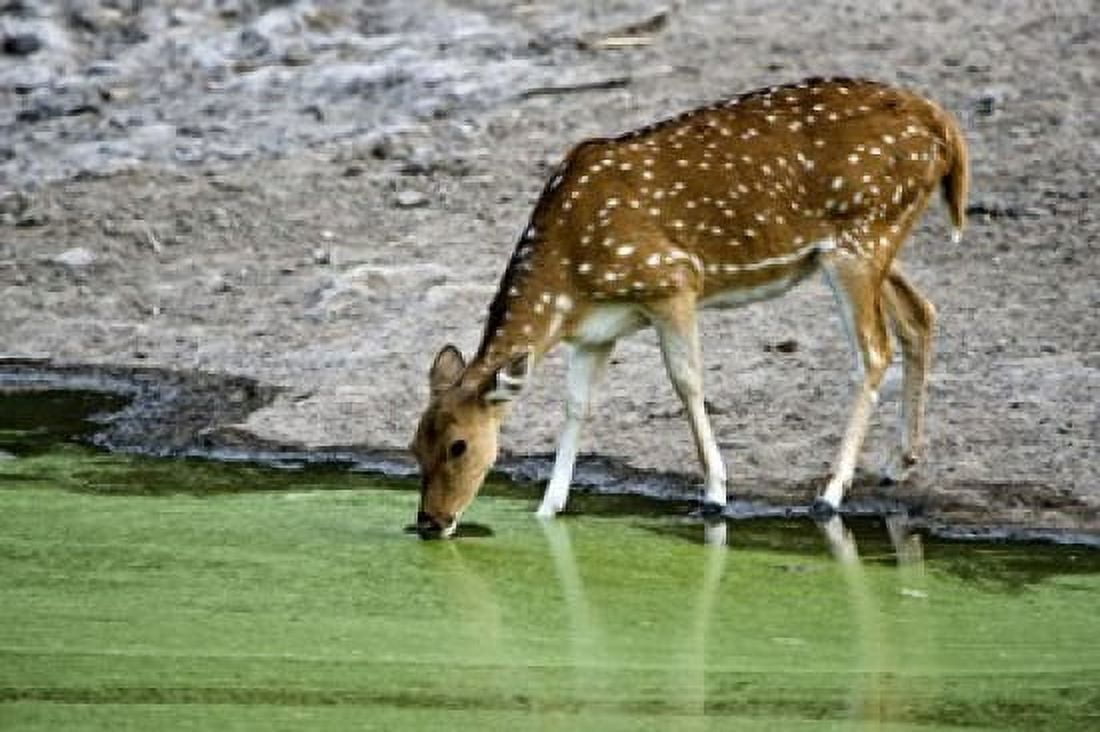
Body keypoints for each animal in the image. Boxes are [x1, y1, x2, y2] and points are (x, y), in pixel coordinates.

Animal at [410, 77, 969, 538]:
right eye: (415, 445)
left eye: (459, 445)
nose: (431, 522)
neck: (568, 279)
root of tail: (943, 127)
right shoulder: (596, 330)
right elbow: (576, 405)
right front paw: (548, 508)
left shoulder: (672, 280)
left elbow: (687, 381)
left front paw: (716, 495)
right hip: (876, 242)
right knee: (921, 314)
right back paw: (898, 462)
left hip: (860, 237)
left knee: (874, 350)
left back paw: (830, 494)